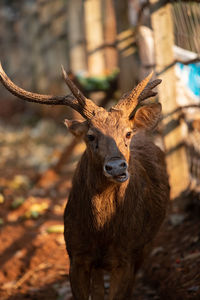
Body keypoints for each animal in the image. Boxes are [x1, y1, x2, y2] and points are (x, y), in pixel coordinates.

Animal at [0, 62, 170, 298]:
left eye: (127, 134)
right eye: (91, 136)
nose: (116, 166)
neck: (101, 232)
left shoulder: (127, 255)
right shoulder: (76, 253)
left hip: (146, 244)